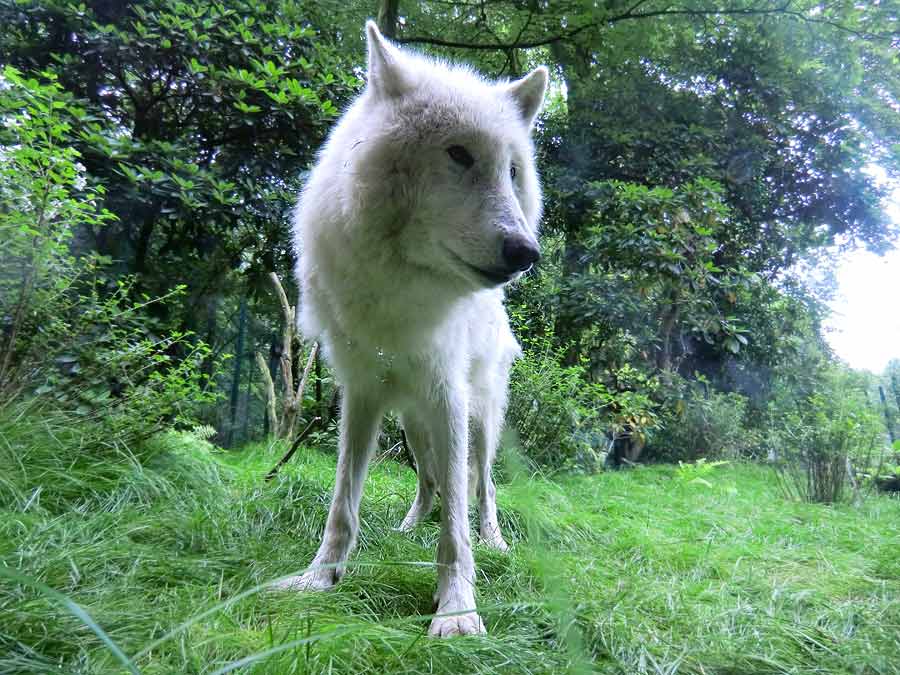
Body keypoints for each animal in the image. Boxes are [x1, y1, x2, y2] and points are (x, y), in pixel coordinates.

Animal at [278, 19, 548, 632]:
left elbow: (456, 530)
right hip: (412, 425)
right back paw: (407, 527)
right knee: (430, 481)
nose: (526, 252)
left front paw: (457, 610)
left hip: (478, 421)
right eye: (459, 154)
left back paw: (494, 541)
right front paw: (319, 578)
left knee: (481, 485)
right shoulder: (361, 394)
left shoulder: (447, 394)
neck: (398, 285)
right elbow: (343, 504)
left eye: (512, 172)